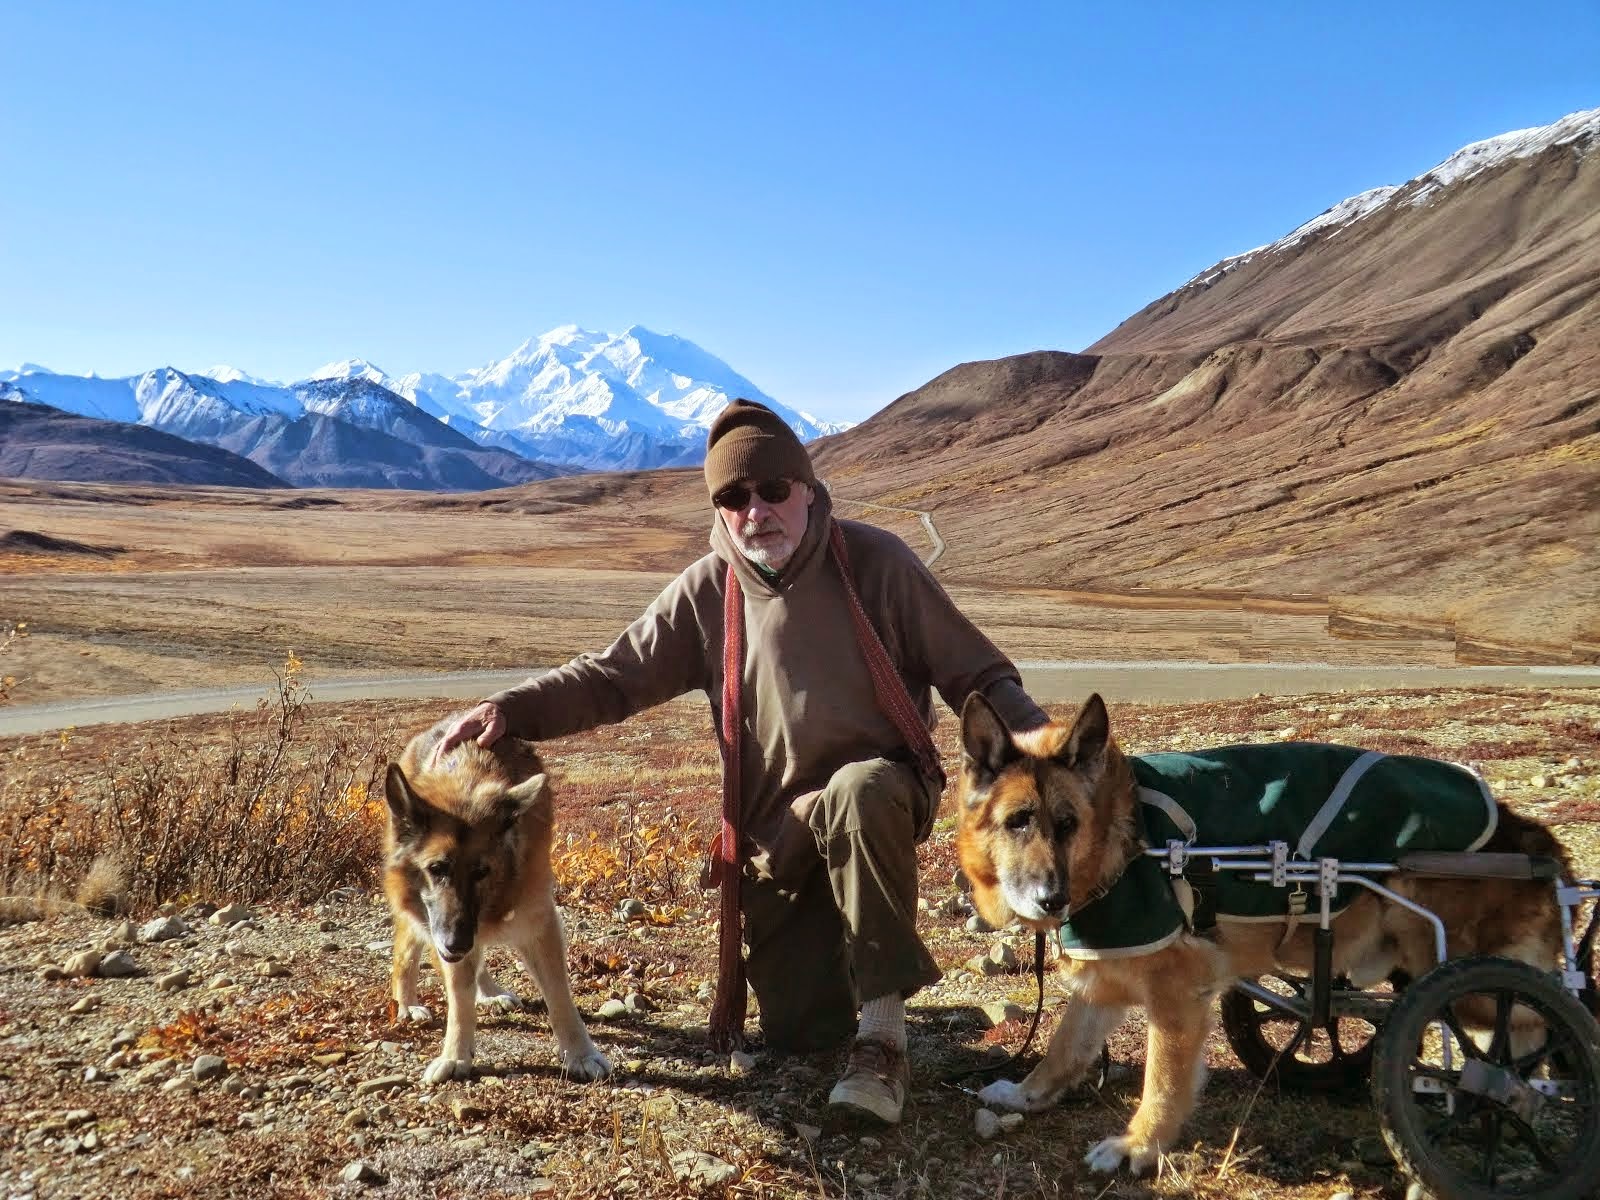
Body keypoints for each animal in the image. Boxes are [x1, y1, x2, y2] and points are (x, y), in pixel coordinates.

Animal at [384, 720, 608, 1088]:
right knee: (407, 951)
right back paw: (407, 1004)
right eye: (436, 869)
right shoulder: (449, 931)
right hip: (417, 912)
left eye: (482, 872)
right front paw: (455, 1055)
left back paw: (487, 992)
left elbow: (559, 995)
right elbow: (459, 997)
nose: (455, 944)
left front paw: (581, 1053)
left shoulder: (539, 923)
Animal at [953, 691, 1568, 1177]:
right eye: (1018, 822)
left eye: (1066, 824)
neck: (1124, 841)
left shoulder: (1177, 999)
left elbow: (1162, 1082)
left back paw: (1513, 1090)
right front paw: (1028, 1095)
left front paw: (1139, 1146)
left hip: (1466, 985)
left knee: (1544, 1017)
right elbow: (1063, 1050)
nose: (1051, 899)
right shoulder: (1102, 986)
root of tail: (1529, 837)